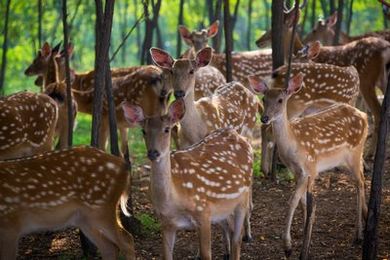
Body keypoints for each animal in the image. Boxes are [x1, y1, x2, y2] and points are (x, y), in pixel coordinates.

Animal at [0, 146, 136, 260]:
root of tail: (123, 165)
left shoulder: (9, 228)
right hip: (83, 218)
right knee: (109, 247)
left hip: (101, 208)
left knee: (127, 241)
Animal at [122, 99, 253, 260]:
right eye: (143, 131)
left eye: (167, 129)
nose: (153, 153)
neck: (173, 200)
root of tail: (238, 134)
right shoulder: (166, 223)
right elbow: (167, 256)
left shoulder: (204, 212)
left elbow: (206, 255)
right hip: (224, 206)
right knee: (228, 226)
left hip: (243, 198)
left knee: (237, 238)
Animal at [251, 73, 368, 260]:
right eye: (264, 98)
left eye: (280, 100)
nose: (264, 118)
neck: (294, 146)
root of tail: (364, 116)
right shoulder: (297, 172)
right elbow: (303, 203)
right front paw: (303, 237)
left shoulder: (310, 169)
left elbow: (294, 202)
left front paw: (291, 248)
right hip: (351, 157)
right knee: (362, 178)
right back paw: (365, 216)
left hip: (354, 153)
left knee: (360, 183)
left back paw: (358, 236)